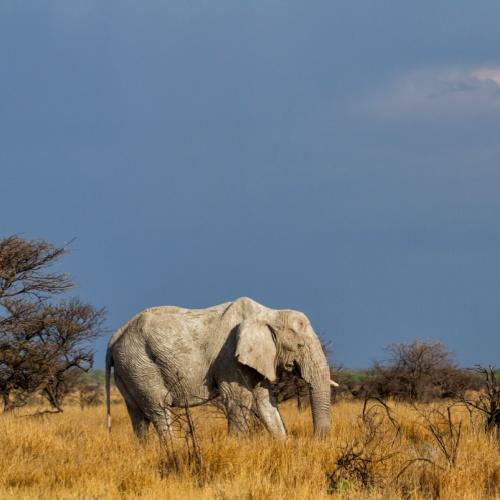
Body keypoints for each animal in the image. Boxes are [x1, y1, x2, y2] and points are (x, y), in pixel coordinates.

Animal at [106, 294, 340, 440]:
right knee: (159, 408)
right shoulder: (229, 356)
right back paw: (173, 449)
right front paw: (236, 446)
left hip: (128, 368)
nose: (316, 441)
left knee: (137, 415)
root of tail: (114, 337)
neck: (269, 313)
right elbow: (240, 398)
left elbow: (266, 401)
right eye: (300, 346)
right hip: (139, 363)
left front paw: (283, 444)